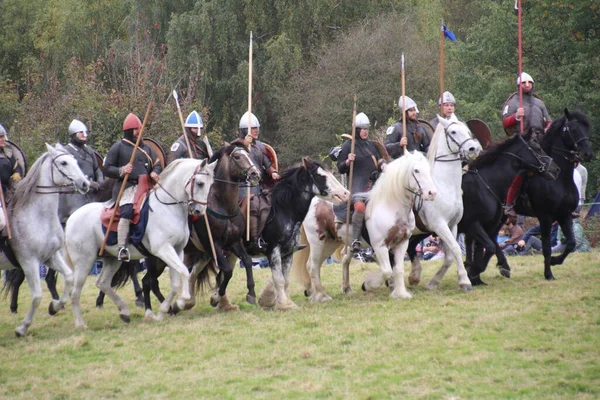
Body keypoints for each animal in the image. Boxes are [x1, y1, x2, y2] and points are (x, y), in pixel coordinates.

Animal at [0, 142, 90, 336]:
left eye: (74, 160)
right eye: (63, 162)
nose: (85, 183)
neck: (37, 215)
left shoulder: (51, 256)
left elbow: (69, 278)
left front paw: (54, 307)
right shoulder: (29, 261)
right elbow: (36, 296)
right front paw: (22, 328)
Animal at [66, 158, 216, 326]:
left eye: (210, 184)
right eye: (200, 183)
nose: (199, 211)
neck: (168, 207)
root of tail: (72, 218)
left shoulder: (177, 250)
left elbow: (175, 283)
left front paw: (164, 311)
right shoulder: (163, 250)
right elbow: (183, 271)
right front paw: (183, 300)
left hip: (112, 259)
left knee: (103, 283)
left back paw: (124, 312)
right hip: (84, 262)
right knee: (75, 291)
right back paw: (80, 323)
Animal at [142, 141, 262, 318]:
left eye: (249, 154)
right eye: (237, 156)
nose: (255, 174)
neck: (223, 206)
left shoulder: (234, 242)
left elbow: (246, 261)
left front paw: (251, 293)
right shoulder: (213, 245)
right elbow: (227, 271)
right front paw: (216, 297)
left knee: (147, 281)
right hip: (156, 256)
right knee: (150, 281)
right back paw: (166, 309)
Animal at [290, 152, 436, 302]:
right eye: (416, 171)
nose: (432, 193)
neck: (390, 206)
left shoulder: (402, 243)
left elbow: (398, 269)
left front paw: (400, 293)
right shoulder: (380, 246)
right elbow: (387, 270)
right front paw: (368, 284)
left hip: (331, 242)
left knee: (323, 264)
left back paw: (333, 290)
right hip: (317, 242)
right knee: (312, 266)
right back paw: (321, 296)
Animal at [460, 130, 564, 284]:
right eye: (536, 148)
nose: (556, 169)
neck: (486, 185)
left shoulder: (488, 225)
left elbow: (487, 247)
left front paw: (475, 273)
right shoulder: (473, 225)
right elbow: (489, 246)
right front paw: (474, 272)